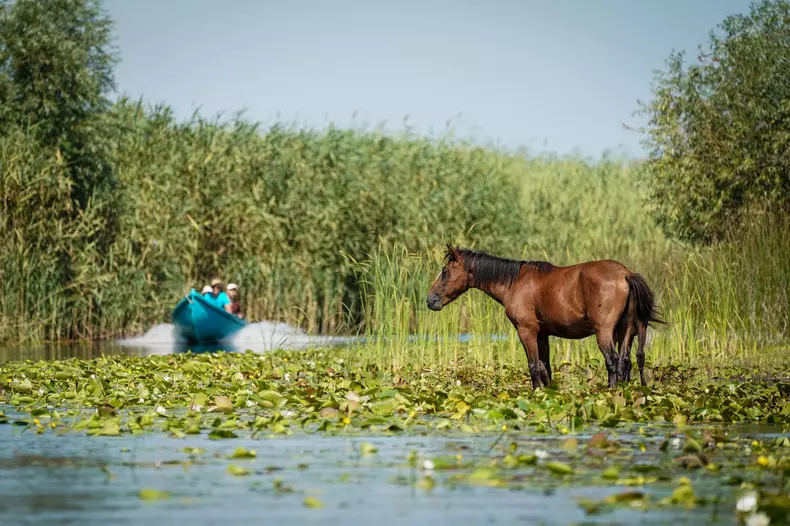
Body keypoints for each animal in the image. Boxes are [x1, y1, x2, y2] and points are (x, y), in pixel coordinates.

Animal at [426, 245, 665, 390]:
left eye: (445, 272)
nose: (430, 300)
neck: (515, 282)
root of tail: (625, 274)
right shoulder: (542, 335)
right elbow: (545, 368)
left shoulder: (526, 331)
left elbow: (533, 366)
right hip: (625, 331)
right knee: (625, 361)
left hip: (605, 332)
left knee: (613, 361)